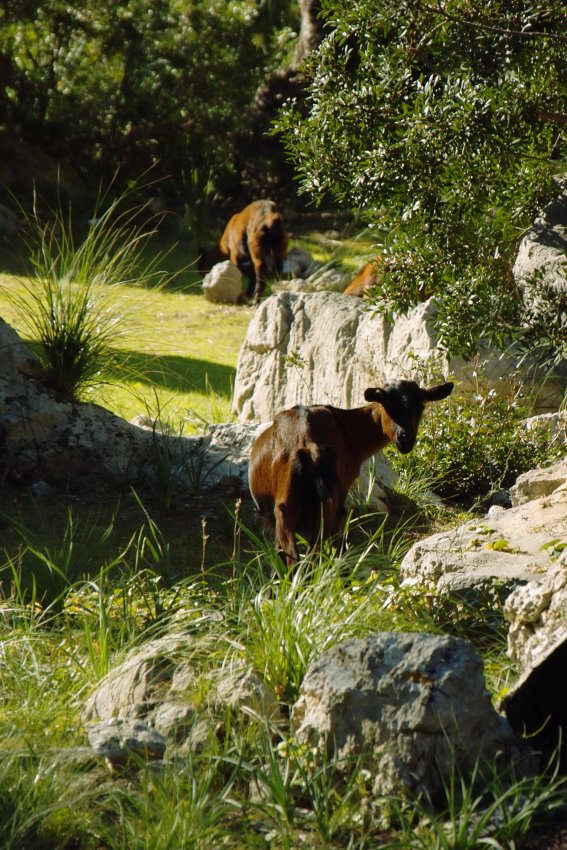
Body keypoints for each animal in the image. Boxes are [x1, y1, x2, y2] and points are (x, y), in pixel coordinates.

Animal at [251, 378, 454, 564]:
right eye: (387, 403)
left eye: (421, 405)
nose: (405, 439)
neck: (347, 429)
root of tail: (308, 449)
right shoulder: (342, 495)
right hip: (320, 506)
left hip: (289, 511)